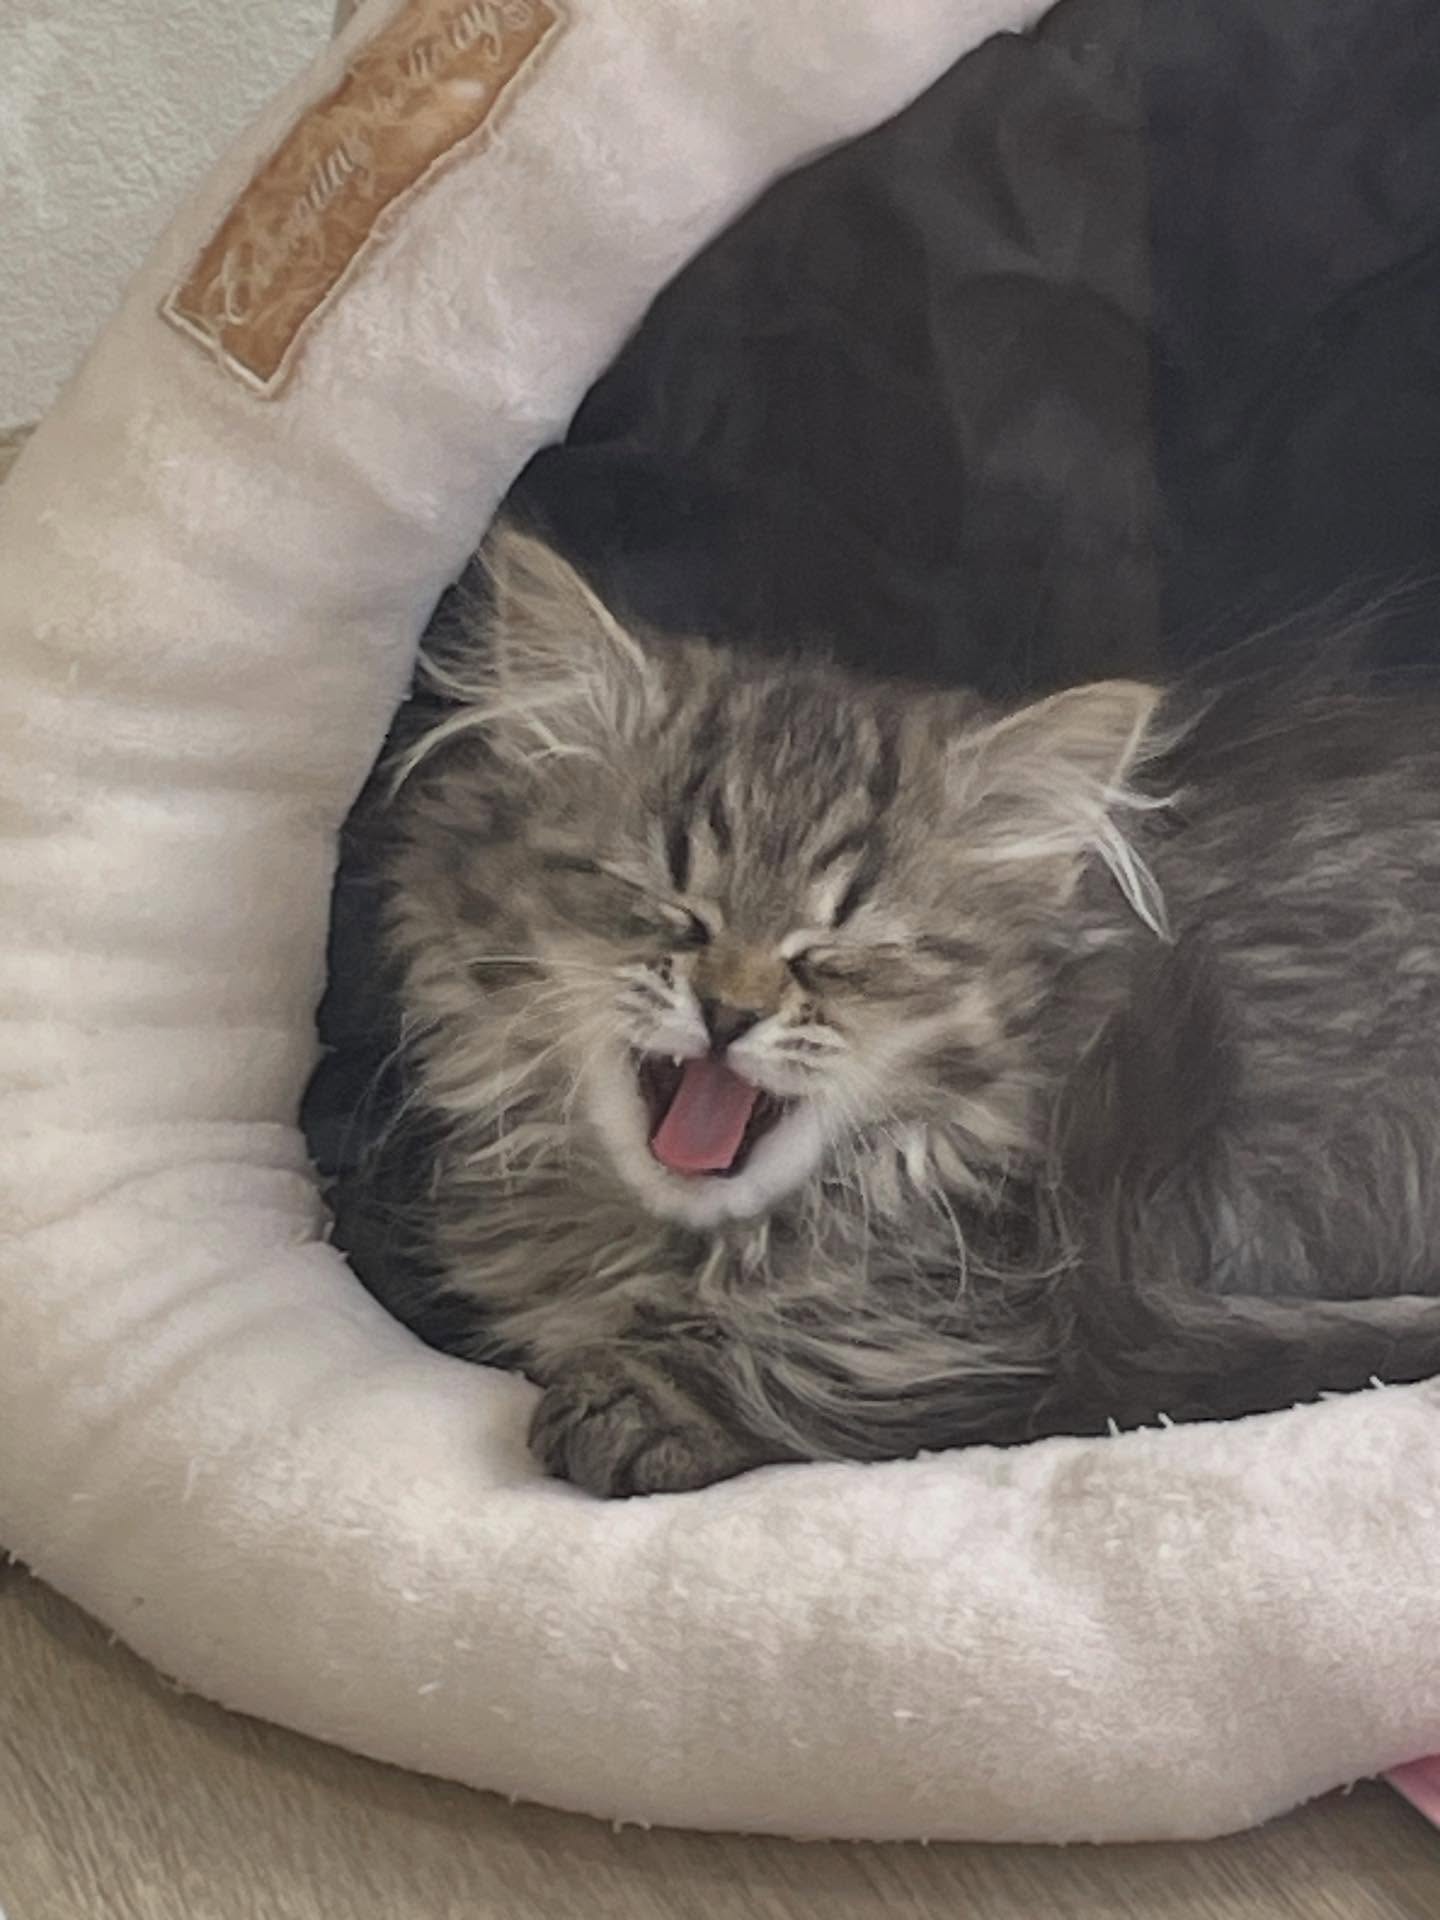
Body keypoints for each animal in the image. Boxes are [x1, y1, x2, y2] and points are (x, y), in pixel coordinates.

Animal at [361, 529, 1440, 1496]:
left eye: (839, 950)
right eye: (671, 906)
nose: (728, 1010)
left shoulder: (1018, 1297)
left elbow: (848, 1352)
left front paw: (651, 1402)